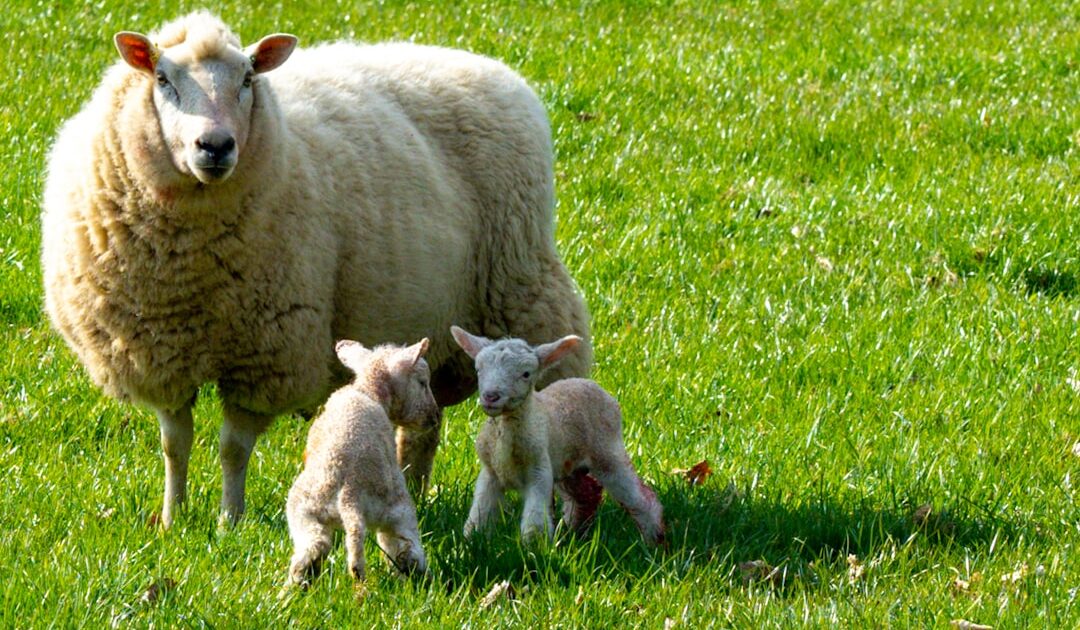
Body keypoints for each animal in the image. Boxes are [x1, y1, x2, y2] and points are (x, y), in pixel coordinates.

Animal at [40, 11, 591, 528]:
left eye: (247, 78)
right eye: (162, 78)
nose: (215, 146)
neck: (189, 270)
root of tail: (487, 66)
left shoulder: (265, 355)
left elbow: (232, 448)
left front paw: (229, 522)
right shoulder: (160, 353)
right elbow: (175, 445)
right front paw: (174, 519)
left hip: (524, 289)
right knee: (424, 425)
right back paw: (411, 490)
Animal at [286, 339, 436, 586]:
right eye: (423, 382)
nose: (434, 418)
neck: (367, 389)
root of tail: (351, 495)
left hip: (303, 510)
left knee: (314, 547)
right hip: (397, 510)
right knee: (405, 549)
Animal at [449, 326, 664, 545]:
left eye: (526, 374)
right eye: (478, 370)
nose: (491, 396)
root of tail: (590, 383)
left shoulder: (539, 470)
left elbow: (535, 519)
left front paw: (534, 548)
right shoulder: (490, 473)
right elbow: (479, 513)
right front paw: (470, 540)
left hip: (607, 452)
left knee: (639, 498)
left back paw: (654, 539)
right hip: (568, 465)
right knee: (586, 494)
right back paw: (574, 533)